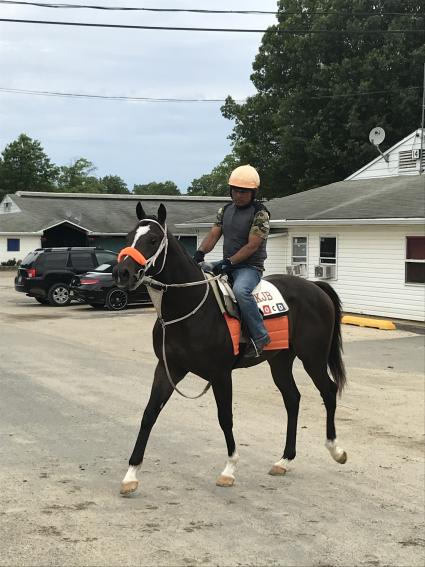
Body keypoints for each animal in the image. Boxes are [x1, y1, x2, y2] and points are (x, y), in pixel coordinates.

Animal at [112, 204, 344, 496]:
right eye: (129, 235)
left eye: (152, 239)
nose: (122, 272)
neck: (189, 308)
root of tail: (315, 287)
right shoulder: (168, 368)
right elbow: (149, 414)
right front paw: (131, 474)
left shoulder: (220, 374)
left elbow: (225, 417)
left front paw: (229, 469)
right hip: (280, 361)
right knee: (292, 399)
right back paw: (284, 460)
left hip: (313, 357)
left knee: (329, 391)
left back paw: (336, 449)